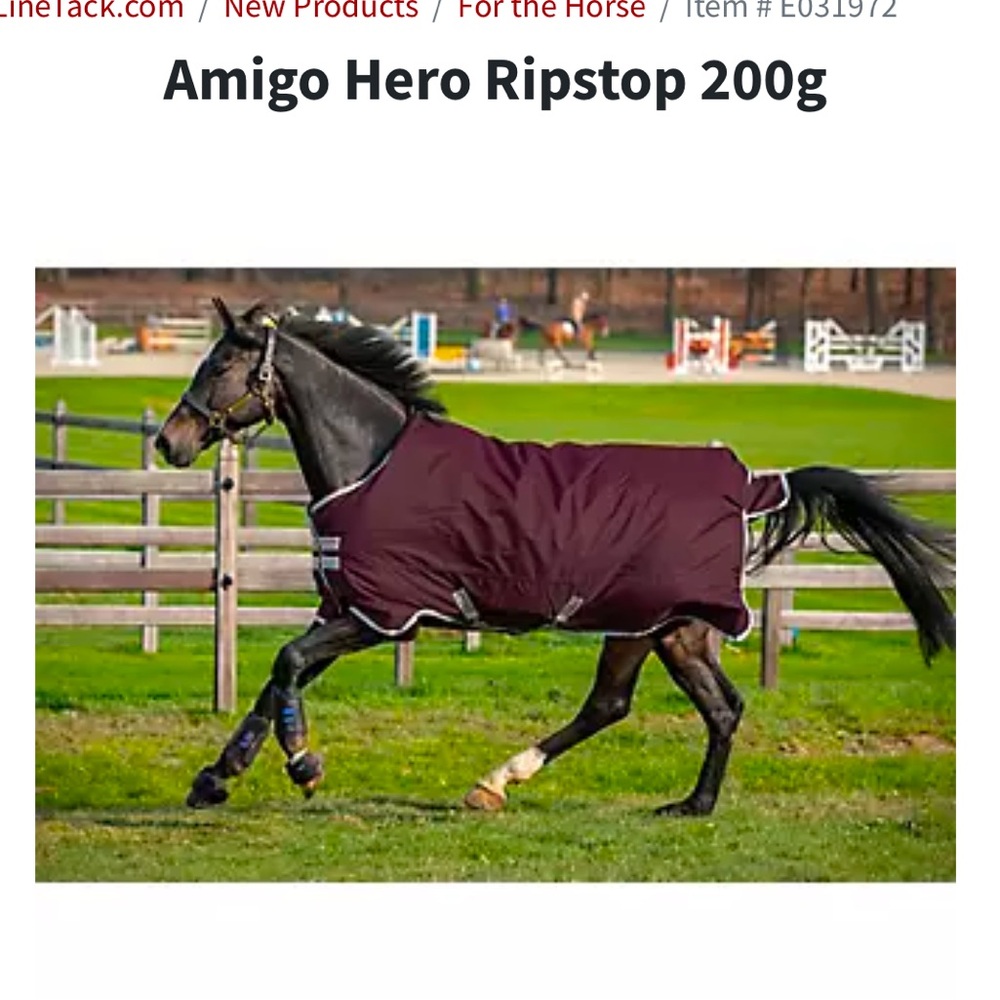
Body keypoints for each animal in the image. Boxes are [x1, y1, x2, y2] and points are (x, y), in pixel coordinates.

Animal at [156, 299, 955, 817]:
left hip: (659, 622)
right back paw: (661, 800)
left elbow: (287, 663)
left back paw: (526, 784)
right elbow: (276, 679)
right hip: (658, 628)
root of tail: (751, 480)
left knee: (671, 707)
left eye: (221, 362)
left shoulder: (383, 614)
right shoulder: (352, 609)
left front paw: (303, 765)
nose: (170, 441)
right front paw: (215, 778)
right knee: (674, 706)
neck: (374, 461)